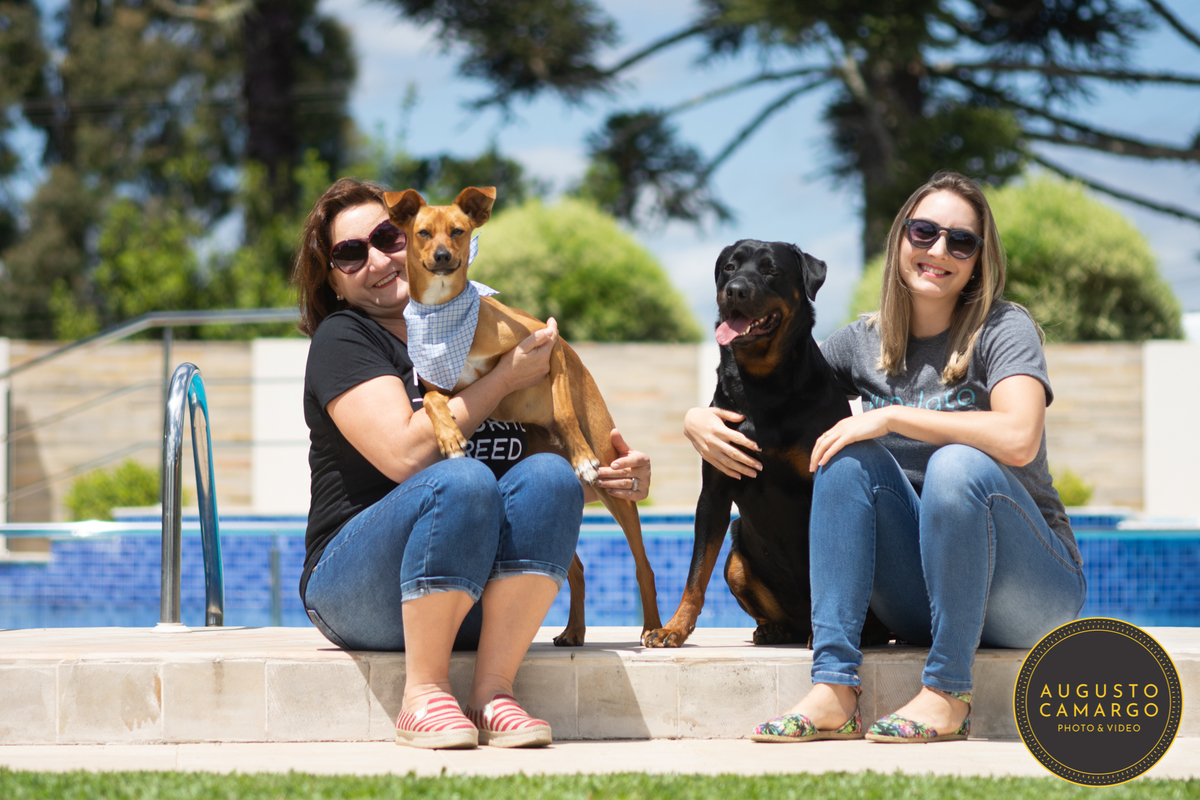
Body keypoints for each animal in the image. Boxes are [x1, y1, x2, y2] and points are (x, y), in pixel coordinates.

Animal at [644, 239, 864, 647]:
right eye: (730, 268)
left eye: (771, 270)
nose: (735, 291)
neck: (763, 384)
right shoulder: (714, 491)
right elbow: (696, 574)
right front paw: (673, 629)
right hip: (736, 553)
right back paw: (773, 629)